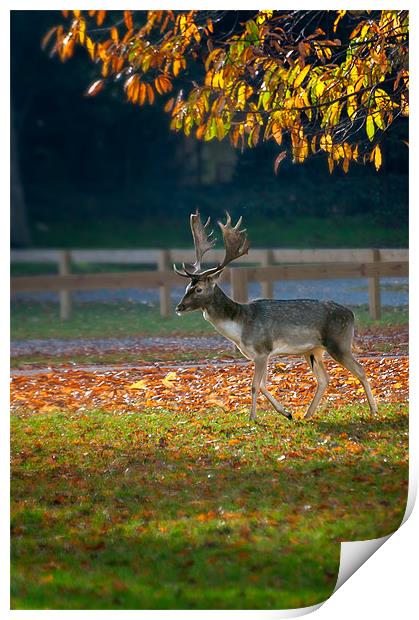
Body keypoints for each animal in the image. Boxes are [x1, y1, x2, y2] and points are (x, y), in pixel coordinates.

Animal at [174, 209, 378, 422]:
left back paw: (373, 410)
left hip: (339, 343)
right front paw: (286, 412)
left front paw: (252, 418)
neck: (240, 326)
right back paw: (307, 414)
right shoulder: (262, 355)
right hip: (313, 350)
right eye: (187, 287)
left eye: (198, 289)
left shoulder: (262, 350)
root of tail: (351, 314)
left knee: (360, 370)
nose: (179, 307)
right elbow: (263, 385)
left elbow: (255, 386)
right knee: (324, 378)